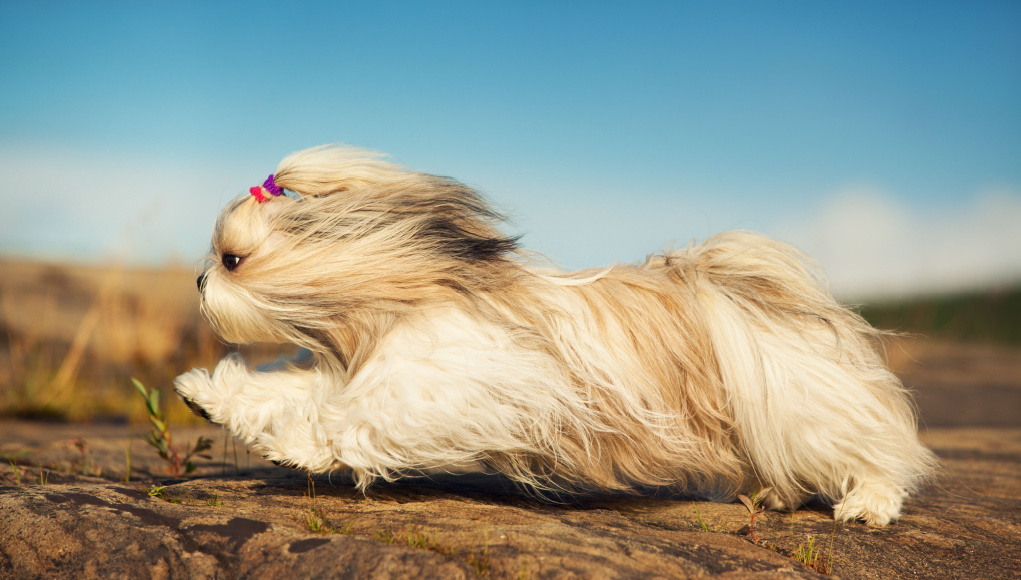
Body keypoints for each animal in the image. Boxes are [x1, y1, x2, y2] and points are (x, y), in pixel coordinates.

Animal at [173, 145, 935, 526]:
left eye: (232, 258)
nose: (199, 282)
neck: (394, 300)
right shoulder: (363, 368)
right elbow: (290, 392)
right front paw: (204, 393)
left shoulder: (443, 388)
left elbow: (348, 425)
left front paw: (295, 447)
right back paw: (777, 495)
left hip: (801, 403)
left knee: (877, 454)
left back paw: (865, 506)